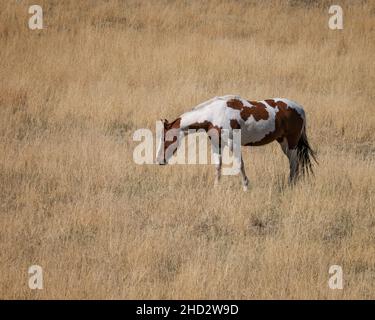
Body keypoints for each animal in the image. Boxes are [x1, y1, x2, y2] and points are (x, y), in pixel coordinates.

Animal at [156, 95, 318, 190]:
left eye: (166, 139)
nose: (159, 160)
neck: (214, 114)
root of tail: (300, 109)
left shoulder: (233, 143)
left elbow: (240, 165)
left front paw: (246, 187)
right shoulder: (216, 143)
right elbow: (218, 166)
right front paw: (216, 188)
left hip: (291, 143)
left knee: (294, 164)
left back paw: (291, 185)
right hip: (283, 143)